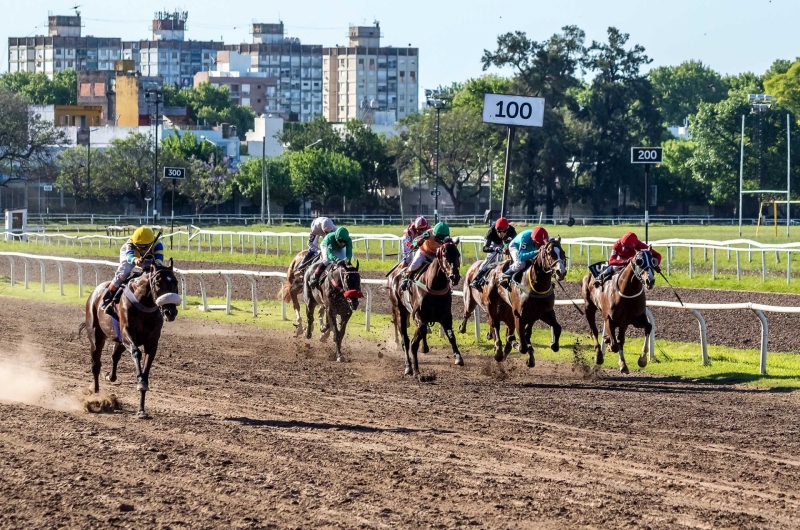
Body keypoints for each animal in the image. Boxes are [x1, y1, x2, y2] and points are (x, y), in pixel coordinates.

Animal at [79, 260, 180, 416]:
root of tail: (95, 293)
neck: (144, 304)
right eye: (158, 282)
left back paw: (110, 377)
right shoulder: (128, 334)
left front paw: (142, 408)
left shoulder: (151, 342)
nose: (170, 312)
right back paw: (96, 397)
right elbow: (136, 353)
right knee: (95, 365)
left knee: (114, 356)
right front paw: (140, 383)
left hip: (119, 341)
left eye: (175, 281)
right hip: (96, 336)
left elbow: (146, 367)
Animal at [388, 237, 462, 378]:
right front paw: (416, 369)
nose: (454, 277)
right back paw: (408, 366)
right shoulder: (419, 315)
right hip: (400, 311)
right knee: (405, 340)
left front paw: (458, 357)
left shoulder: (445, 316)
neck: (434, 285)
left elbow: (451, 335)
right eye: (444, 255)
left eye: (458, 255)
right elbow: (414, 341)